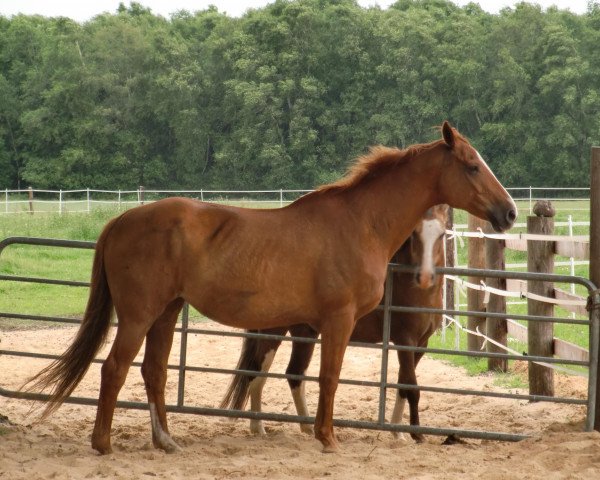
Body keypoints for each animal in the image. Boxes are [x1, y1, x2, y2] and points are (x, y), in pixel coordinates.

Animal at [223, 204, 448, 440]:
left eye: (442, 234)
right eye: (414, 234)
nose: (424, 276)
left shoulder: (421, 344)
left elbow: (403, 385)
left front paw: (399, 433)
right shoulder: (405, 341)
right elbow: (412, 386)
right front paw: (415, 435)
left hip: (305, 333)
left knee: (294, 373)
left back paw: (305, 427)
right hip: (273, 332)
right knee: (256, 372)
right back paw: (258, 427)